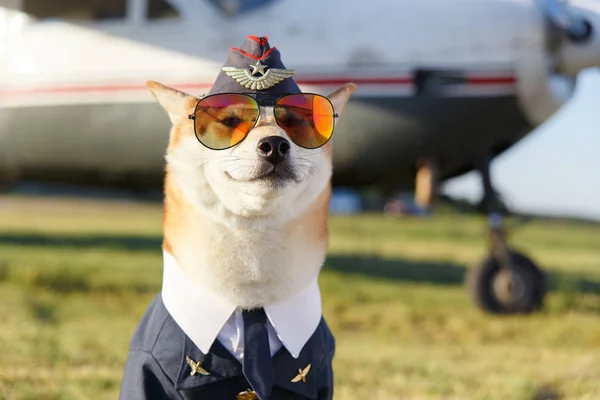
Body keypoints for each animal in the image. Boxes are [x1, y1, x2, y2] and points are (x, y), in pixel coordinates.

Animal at [120, 35, 356, 400]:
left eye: (295, 123)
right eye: (231, 122)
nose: (275, 144)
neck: (250, 301)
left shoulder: (318, 369)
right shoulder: (150, 366)